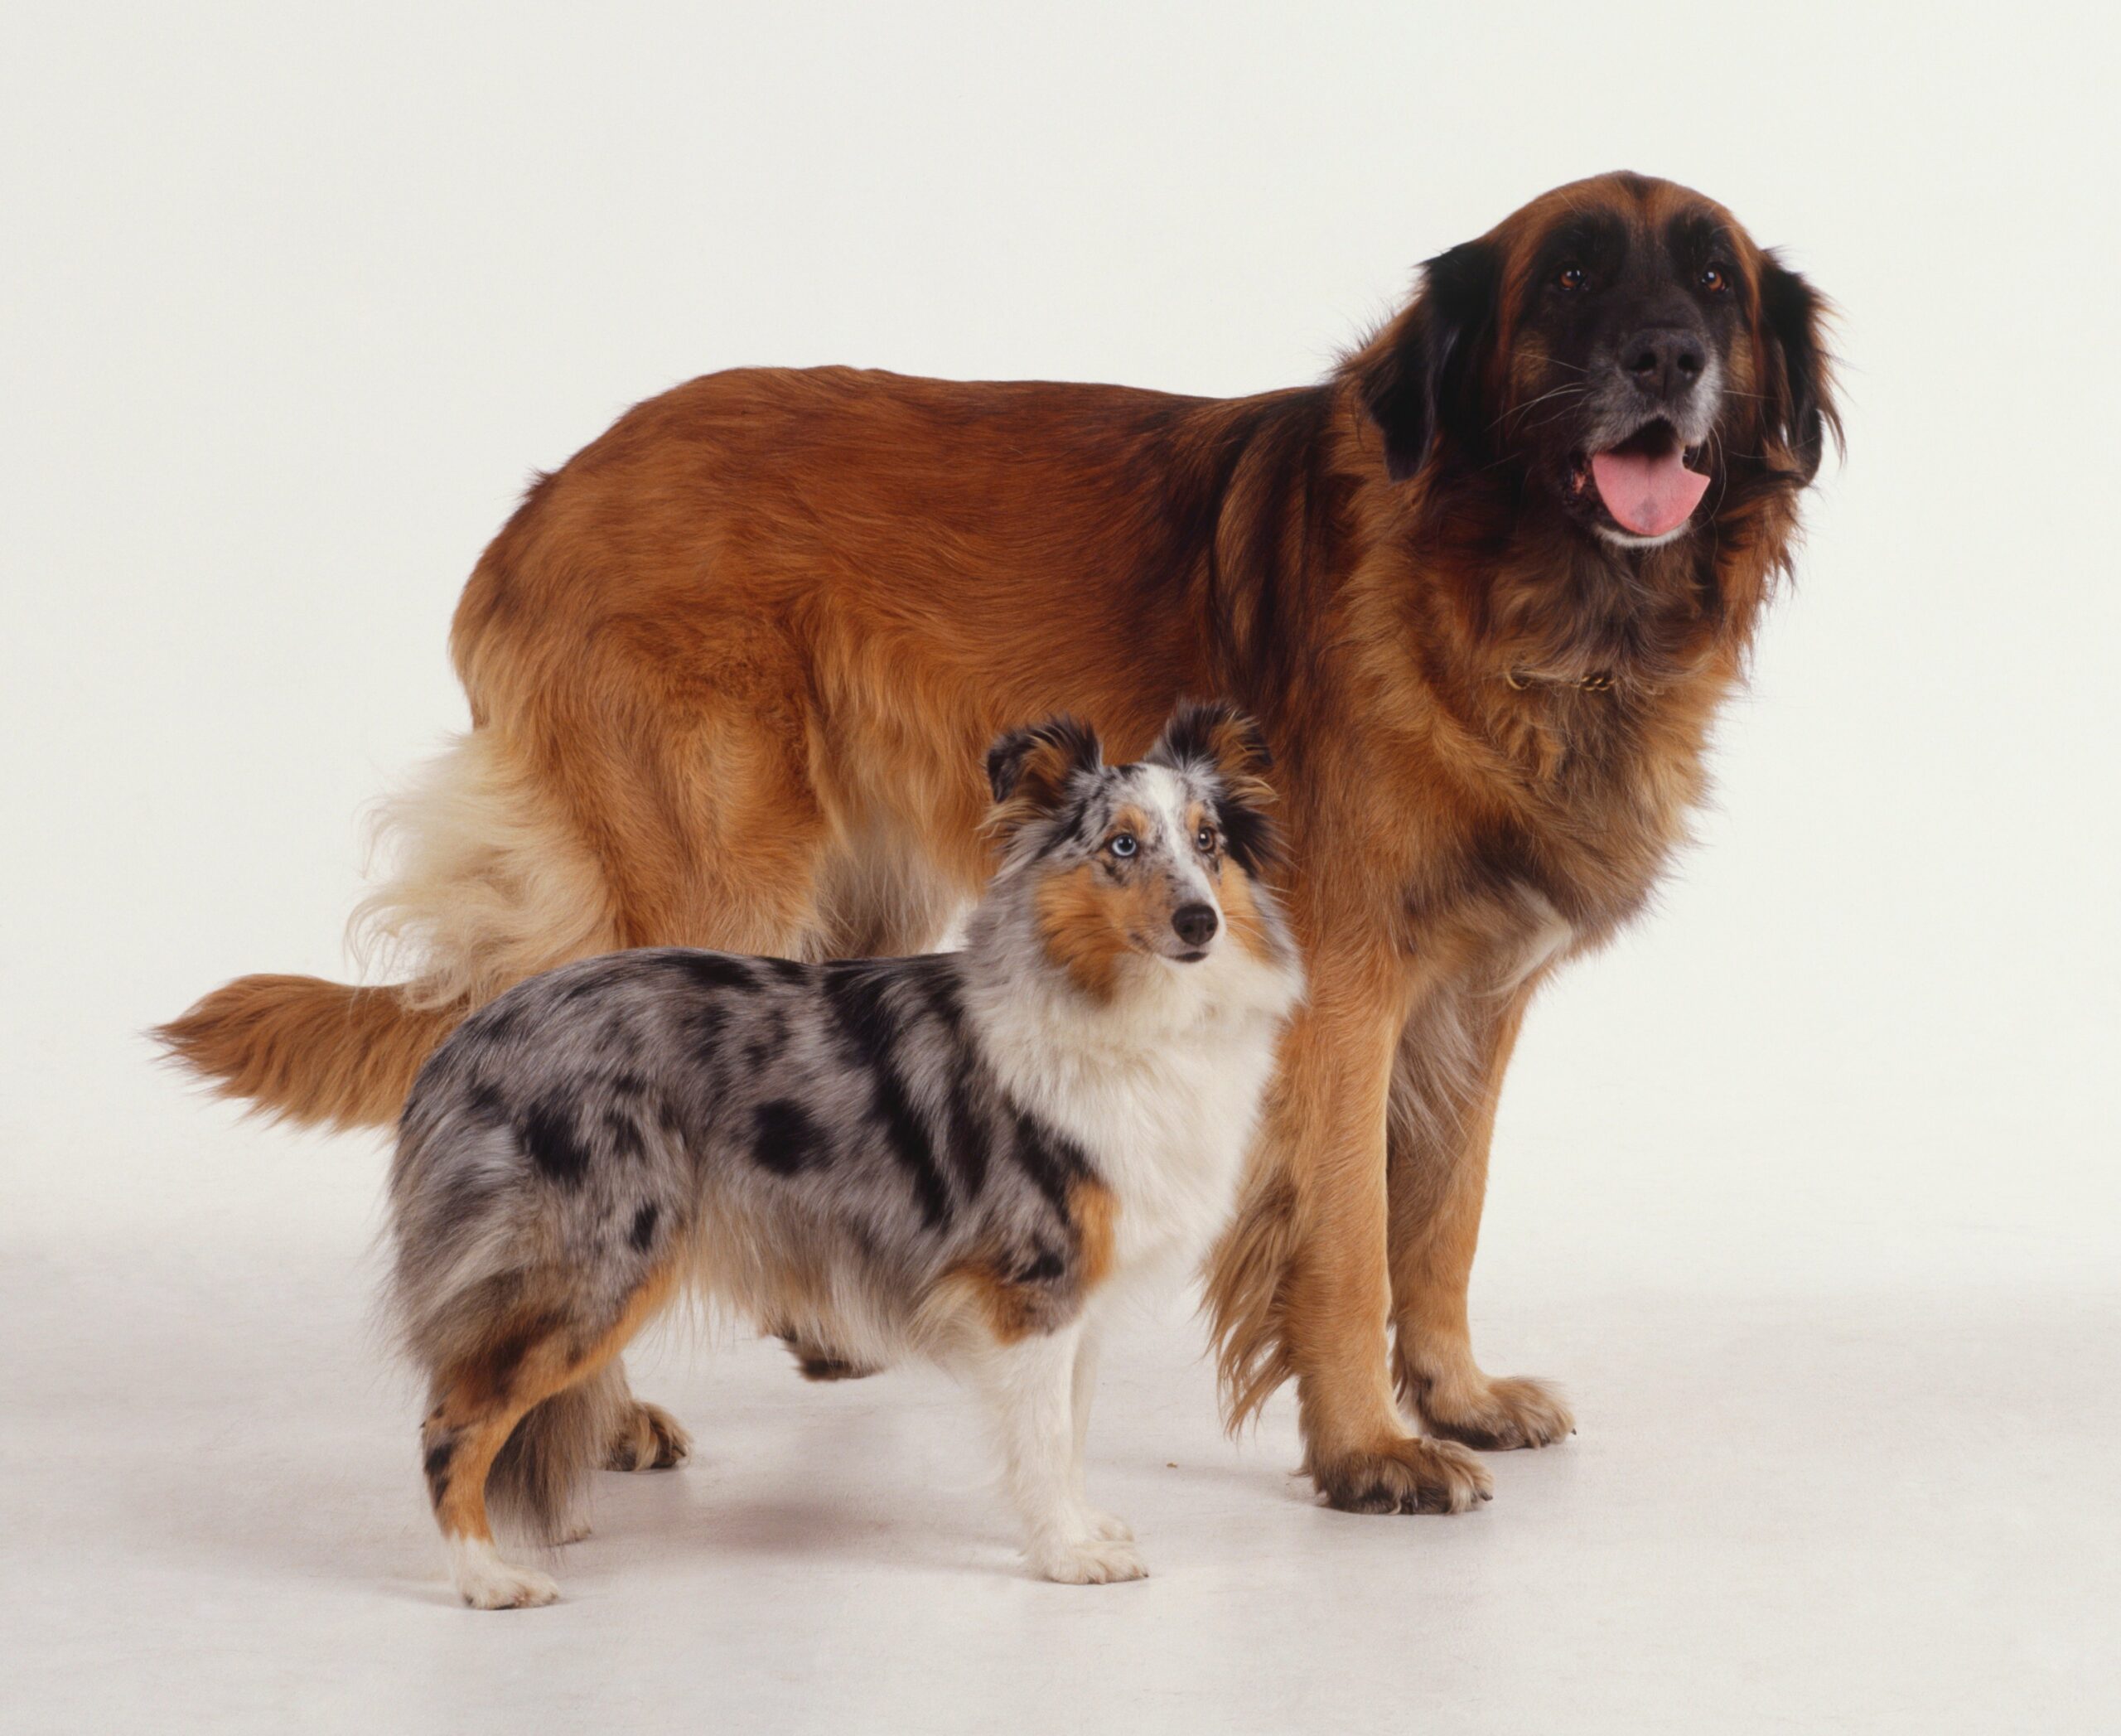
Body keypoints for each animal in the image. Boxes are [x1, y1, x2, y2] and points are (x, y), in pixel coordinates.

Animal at [161, 168, 1841, 1511]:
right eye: (1571, 279)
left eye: (1712, 279)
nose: (1668, 358)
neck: (1515, 593)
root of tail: (547, 493)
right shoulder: (1347, 992)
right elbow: (1351, 1234)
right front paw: (1368, 1448)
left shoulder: (1474, 997)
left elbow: (1447, 1210)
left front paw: (1458, 1393)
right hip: (704, 881)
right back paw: (602, 1406)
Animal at [390, 696, 1297, 1604]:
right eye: (1122, 845)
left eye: (1208, 840)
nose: (1200, 922)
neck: (1125, 1013)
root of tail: (467, 1037)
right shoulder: (1033, 1284)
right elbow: (1042, 1437)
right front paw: (1067, 1555)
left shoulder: (1081, 1298)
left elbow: (1069, 1431)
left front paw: (1081, 1527)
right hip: (598, 1267)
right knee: (451, 1418)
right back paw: (487, 1576)